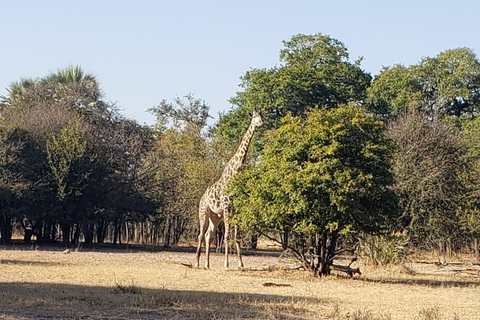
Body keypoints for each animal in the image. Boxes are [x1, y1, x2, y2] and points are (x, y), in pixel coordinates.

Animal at [194, 109, 264, 268]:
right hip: (204, 213)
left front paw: (240, 264)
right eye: (254, 116)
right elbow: (226, 236)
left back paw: (207, 264)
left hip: (215, 217)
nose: (261, 123)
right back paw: (197, 263)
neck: (235, 172)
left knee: (208, 235)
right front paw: (226, 264)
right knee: (201, 235)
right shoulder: (226, 207)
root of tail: (201, 198)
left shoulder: (236, 209)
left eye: (262, 115)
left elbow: (237, 237)